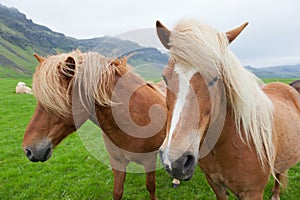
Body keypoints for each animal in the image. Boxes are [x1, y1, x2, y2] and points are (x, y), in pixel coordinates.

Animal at [22, 50, 178, 200]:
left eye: (55, 101)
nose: (28, 150)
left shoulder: (149, 160)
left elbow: (150, 186)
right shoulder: (117, 162)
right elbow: (117, 192)